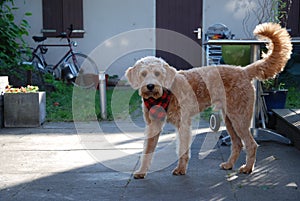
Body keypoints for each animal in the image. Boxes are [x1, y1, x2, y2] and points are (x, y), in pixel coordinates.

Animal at [125, 23, 292, 179]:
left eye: (158, 73)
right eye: (143, 74)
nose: (150, 86)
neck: (165, 93)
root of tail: (243, 71)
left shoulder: (183, 124)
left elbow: (182, 150)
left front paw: (181, 169)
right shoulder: (153, 125)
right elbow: (147, 151)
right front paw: (141, 171)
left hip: (240, 119)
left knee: (251, 144)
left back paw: (247, 168)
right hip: (230, 119)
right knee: (237, 144)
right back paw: (229, 165)